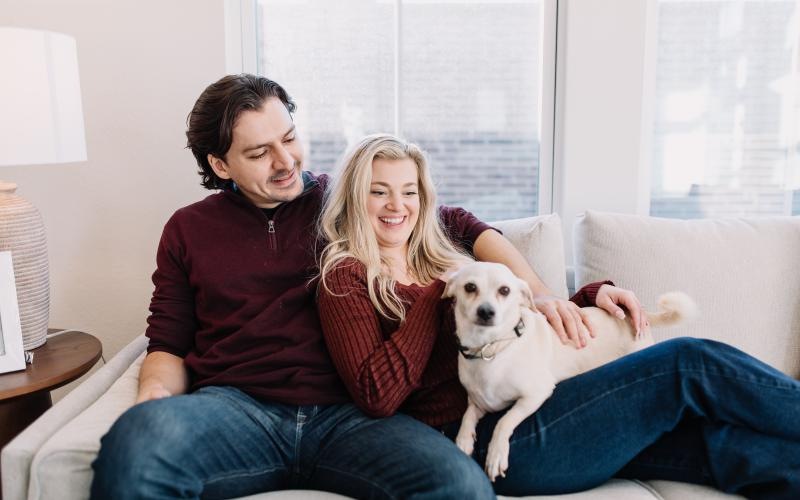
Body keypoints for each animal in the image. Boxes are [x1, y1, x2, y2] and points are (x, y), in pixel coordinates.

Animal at [440, 262, 696, 480]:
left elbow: (504, 421)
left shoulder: (535, 395)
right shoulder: (479, 403)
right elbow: (467, 416)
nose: (486, 311)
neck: (490, 349)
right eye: (470, 287)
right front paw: (463, 441)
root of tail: (631, 315)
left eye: (504, 290)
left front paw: (495, 455)